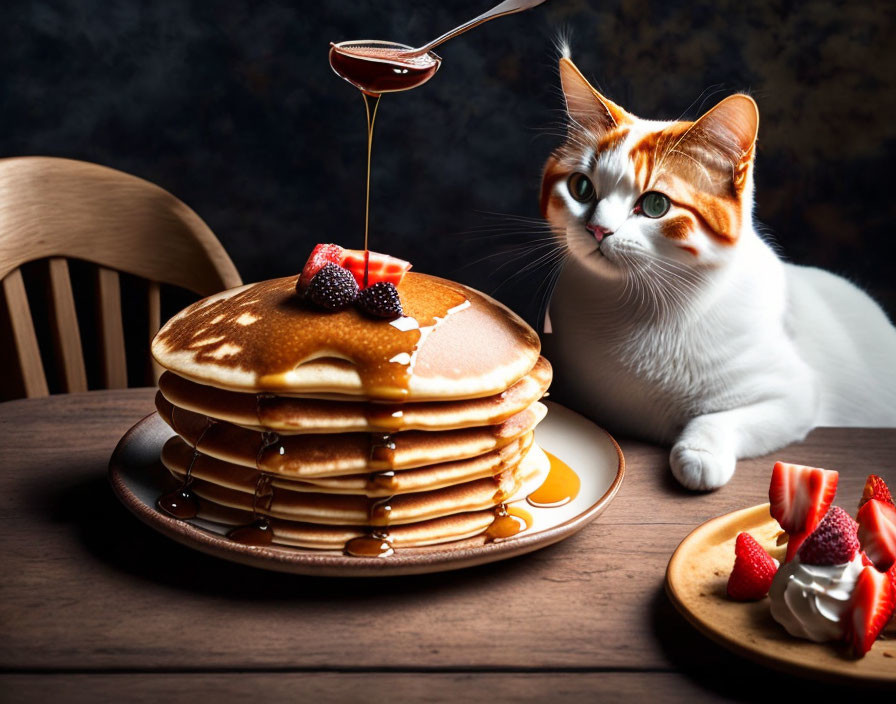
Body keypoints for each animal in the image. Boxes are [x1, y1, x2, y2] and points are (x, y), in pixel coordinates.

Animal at [540, 52, 896, 490]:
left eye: (655, 205)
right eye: (581, 188)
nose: (597, 229)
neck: (636, 303)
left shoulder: (795, 395)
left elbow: (725, 417)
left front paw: (699, 452)